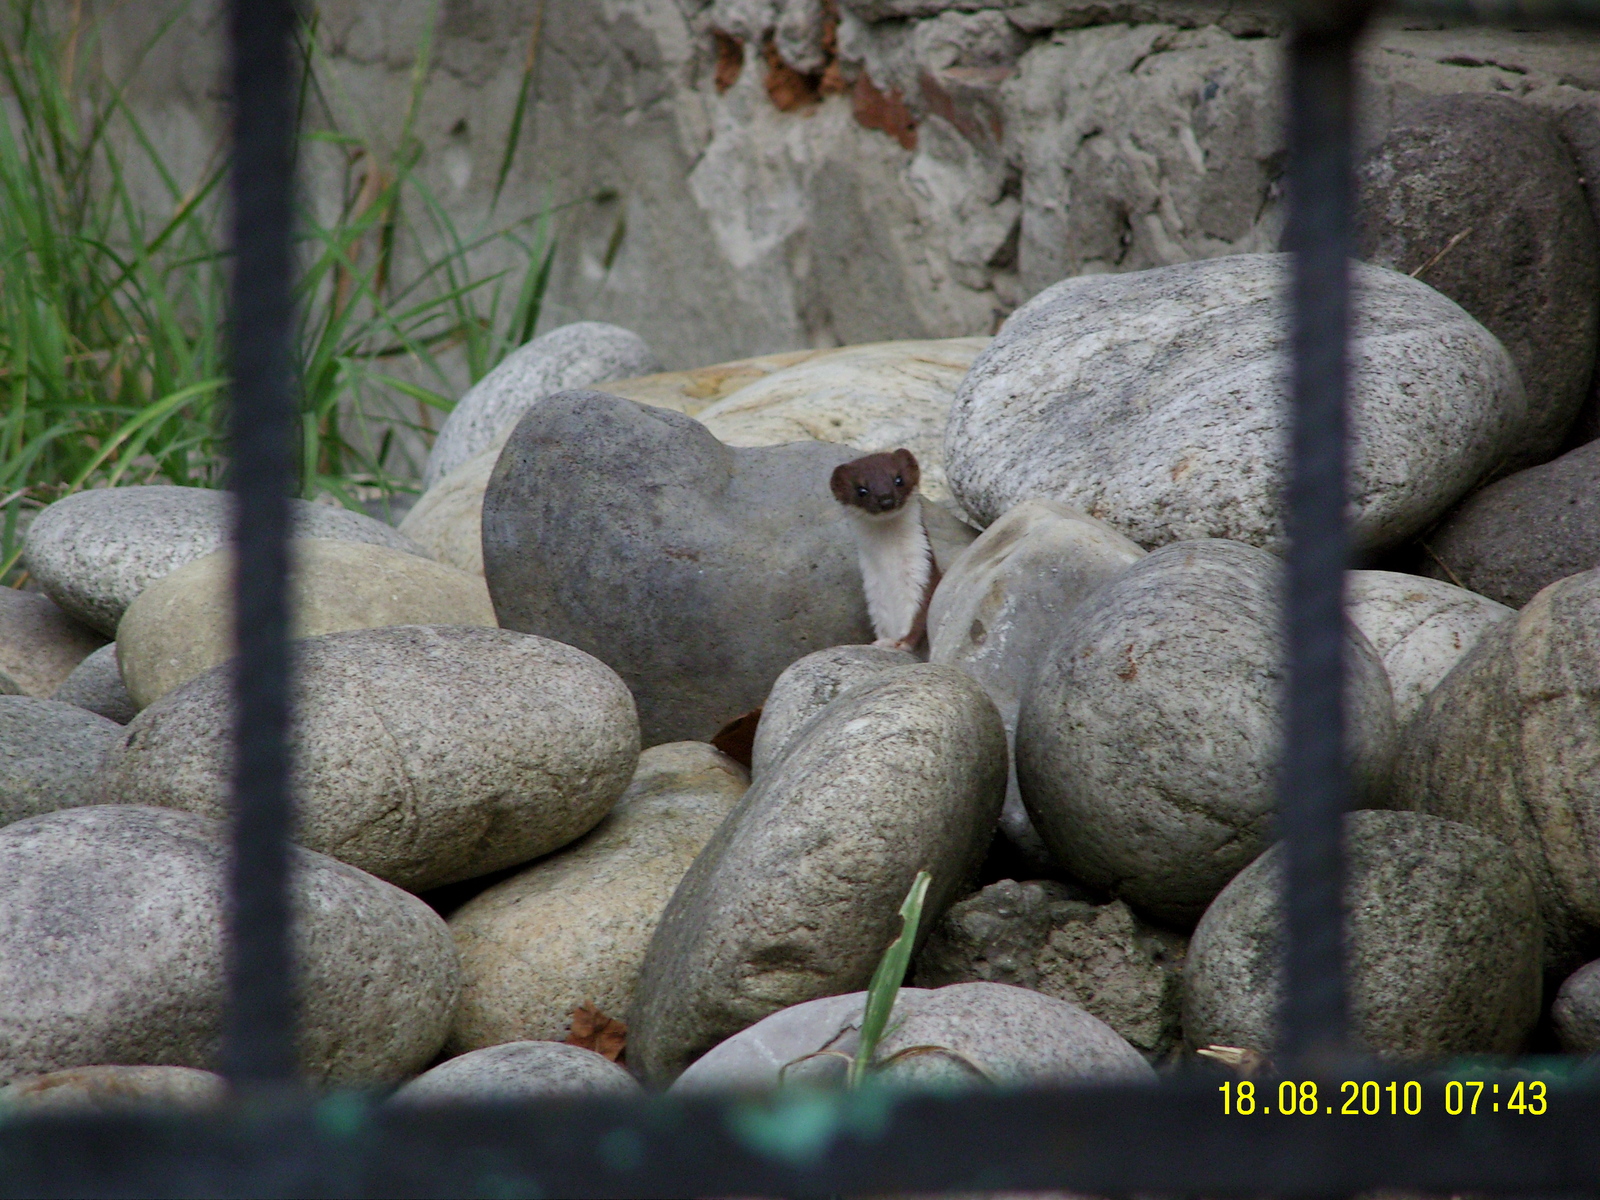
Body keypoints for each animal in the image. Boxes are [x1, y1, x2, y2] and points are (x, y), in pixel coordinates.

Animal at [838, 451, 934, 659]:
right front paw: (883, 642)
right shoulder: (873, 588)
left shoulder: (920, 572)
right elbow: (880, 619)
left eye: (898, 479)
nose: (885, 499)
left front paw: (901, 643)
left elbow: (919, 616)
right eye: (861, 489)